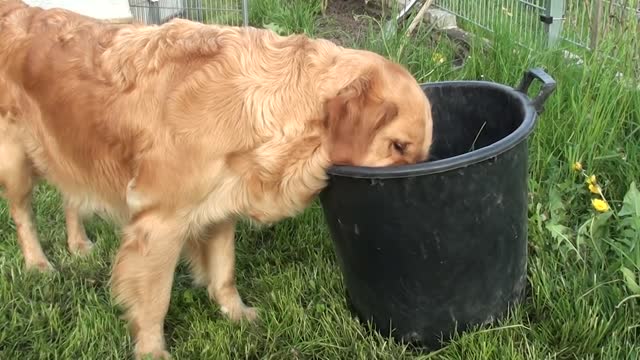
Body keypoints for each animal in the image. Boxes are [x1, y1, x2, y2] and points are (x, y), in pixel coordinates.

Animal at [0, 0, 436, 358]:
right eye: (398, 146)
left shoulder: (222, 203)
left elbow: (224, 272)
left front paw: (236, 313)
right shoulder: (160, 223)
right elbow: (154, 299)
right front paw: (152, 351)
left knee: (69, 194)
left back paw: (78, 245)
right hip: (17, 162)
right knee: (23, 215)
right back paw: (38, 263)